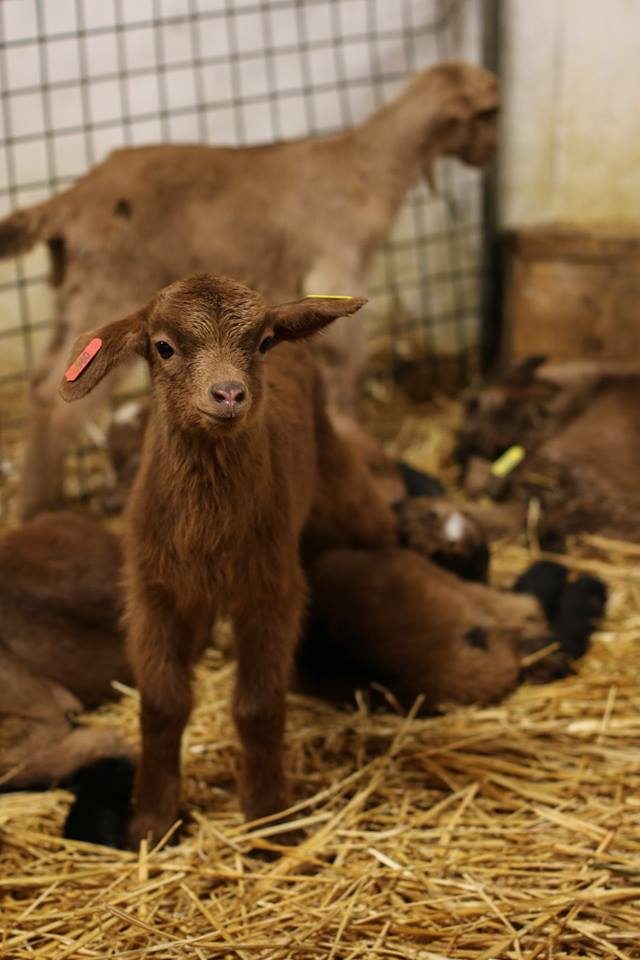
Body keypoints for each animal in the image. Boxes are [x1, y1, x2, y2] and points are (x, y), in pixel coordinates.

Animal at [0, 60, 500, 520]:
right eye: (491, 111)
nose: (490, 154)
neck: (367, 166)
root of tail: (68, 203)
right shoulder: (335, 263)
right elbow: (347, 358)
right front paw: (351, 433)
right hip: (110, 286)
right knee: (61, 397)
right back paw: (37, 510)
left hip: (75, 290)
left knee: (44, 382)